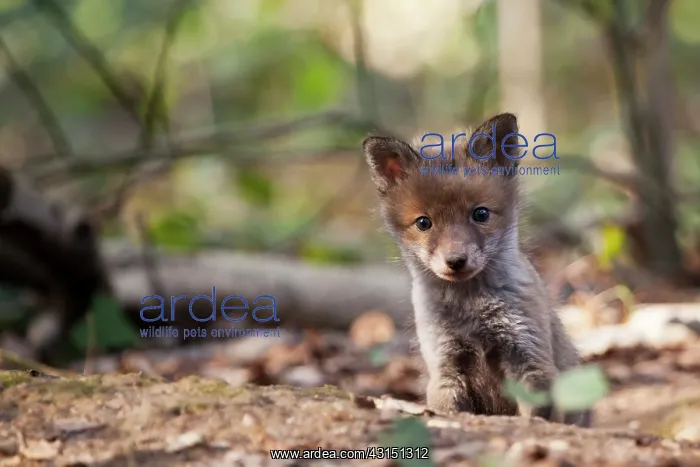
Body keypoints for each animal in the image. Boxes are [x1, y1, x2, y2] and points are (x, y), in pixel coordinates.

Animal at [363, 113, 591, 427]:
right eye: (423, 223)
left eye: (480, 214)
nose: (455, 260)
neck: (473, 310)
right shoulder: (446, 365)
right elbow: (449, 410)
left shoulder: (528, 357)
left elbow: (535, 414)